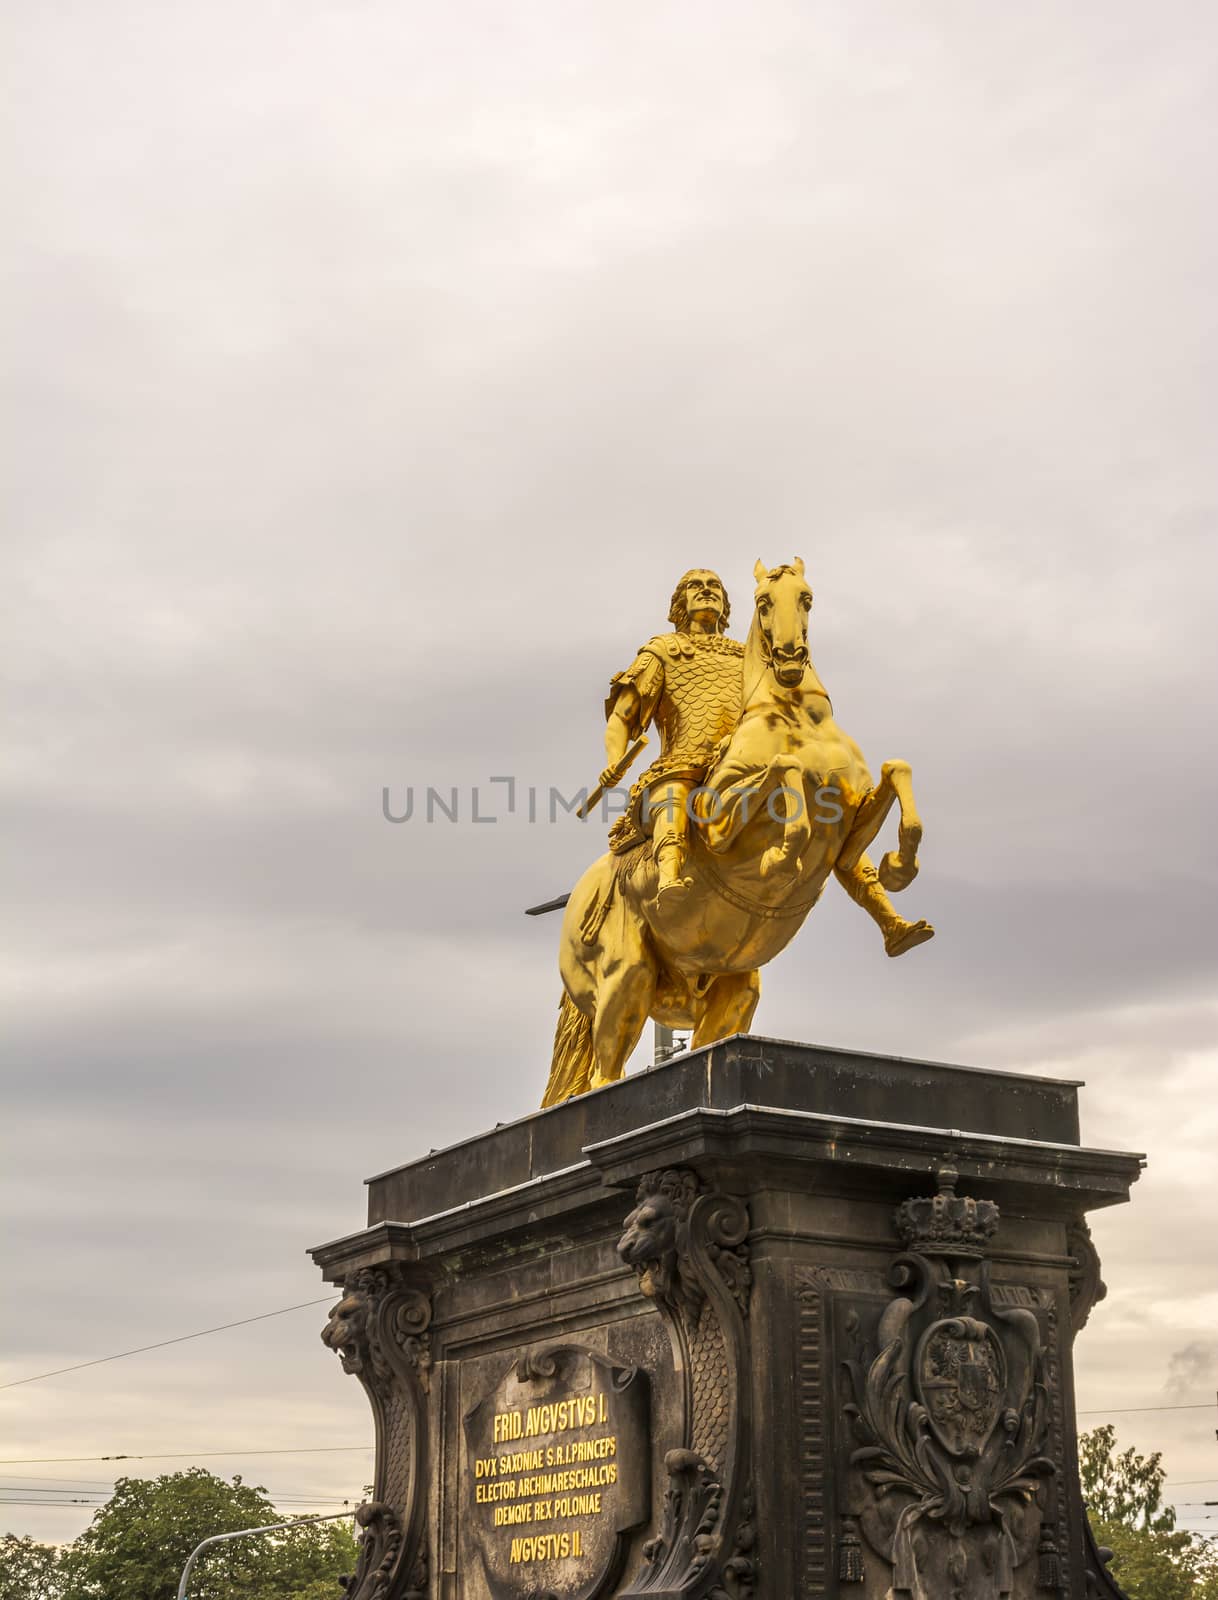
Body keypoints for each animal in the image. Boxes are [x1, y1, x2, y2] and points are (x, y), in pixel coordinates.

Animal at [540, 556, 928, 1107]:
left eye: (807, 597)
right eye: (764, 602)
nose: (789, 658)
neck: (798, 719)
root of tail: (577, 899)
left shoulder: (852, 820)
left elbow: (897, 773)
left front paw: (898, 867)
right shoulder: (718, 820)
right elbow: (785, 769)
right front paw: (782, 857)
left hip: (731, 987)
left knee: (705, 1037)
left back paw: (900, 929)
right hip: (625, 982)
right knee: (601, 1077)